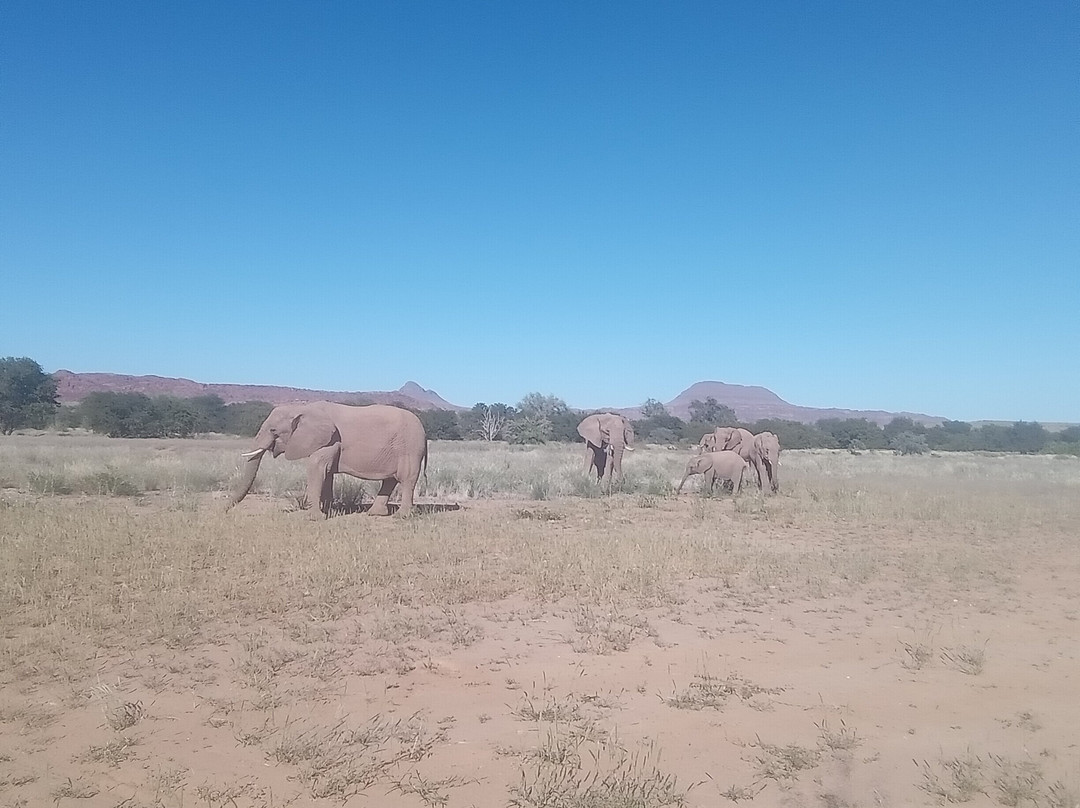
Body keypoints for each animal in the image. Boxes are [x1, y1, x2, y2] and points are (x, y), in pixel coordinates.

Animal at [226, 401, 428, 518]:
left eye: (273, 430)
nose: (224, 511)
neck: (301, 408)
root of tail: (424, 431)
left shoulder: (331, 439)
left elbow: (316, 467)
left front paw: (314, 517)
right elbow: (327, 472)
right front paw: (330, 511)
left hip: (410, 448)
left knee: (407, 479)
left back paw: (401, 517)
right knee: (390, 480)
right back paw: (375, 514)